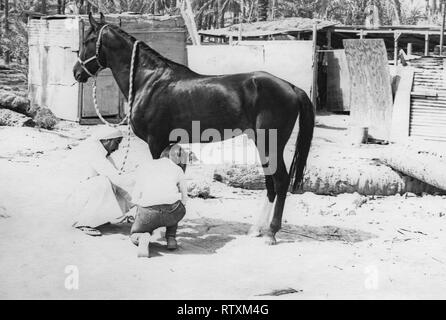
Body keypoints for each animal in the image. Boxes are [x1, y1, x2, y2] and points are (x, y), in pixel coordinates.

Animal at [73, 11, 316, 242]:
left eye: (87, 40)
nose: (77, 72)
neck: (148, 81)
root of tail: (291, 87)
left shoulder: (156, 142)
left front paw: (157, 231)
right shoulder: (169, 143)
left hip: (270, 144)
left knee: (280, 181)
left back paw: (271, 233)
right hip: (263, 144)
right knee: (270, 182)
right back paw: (256, 230)